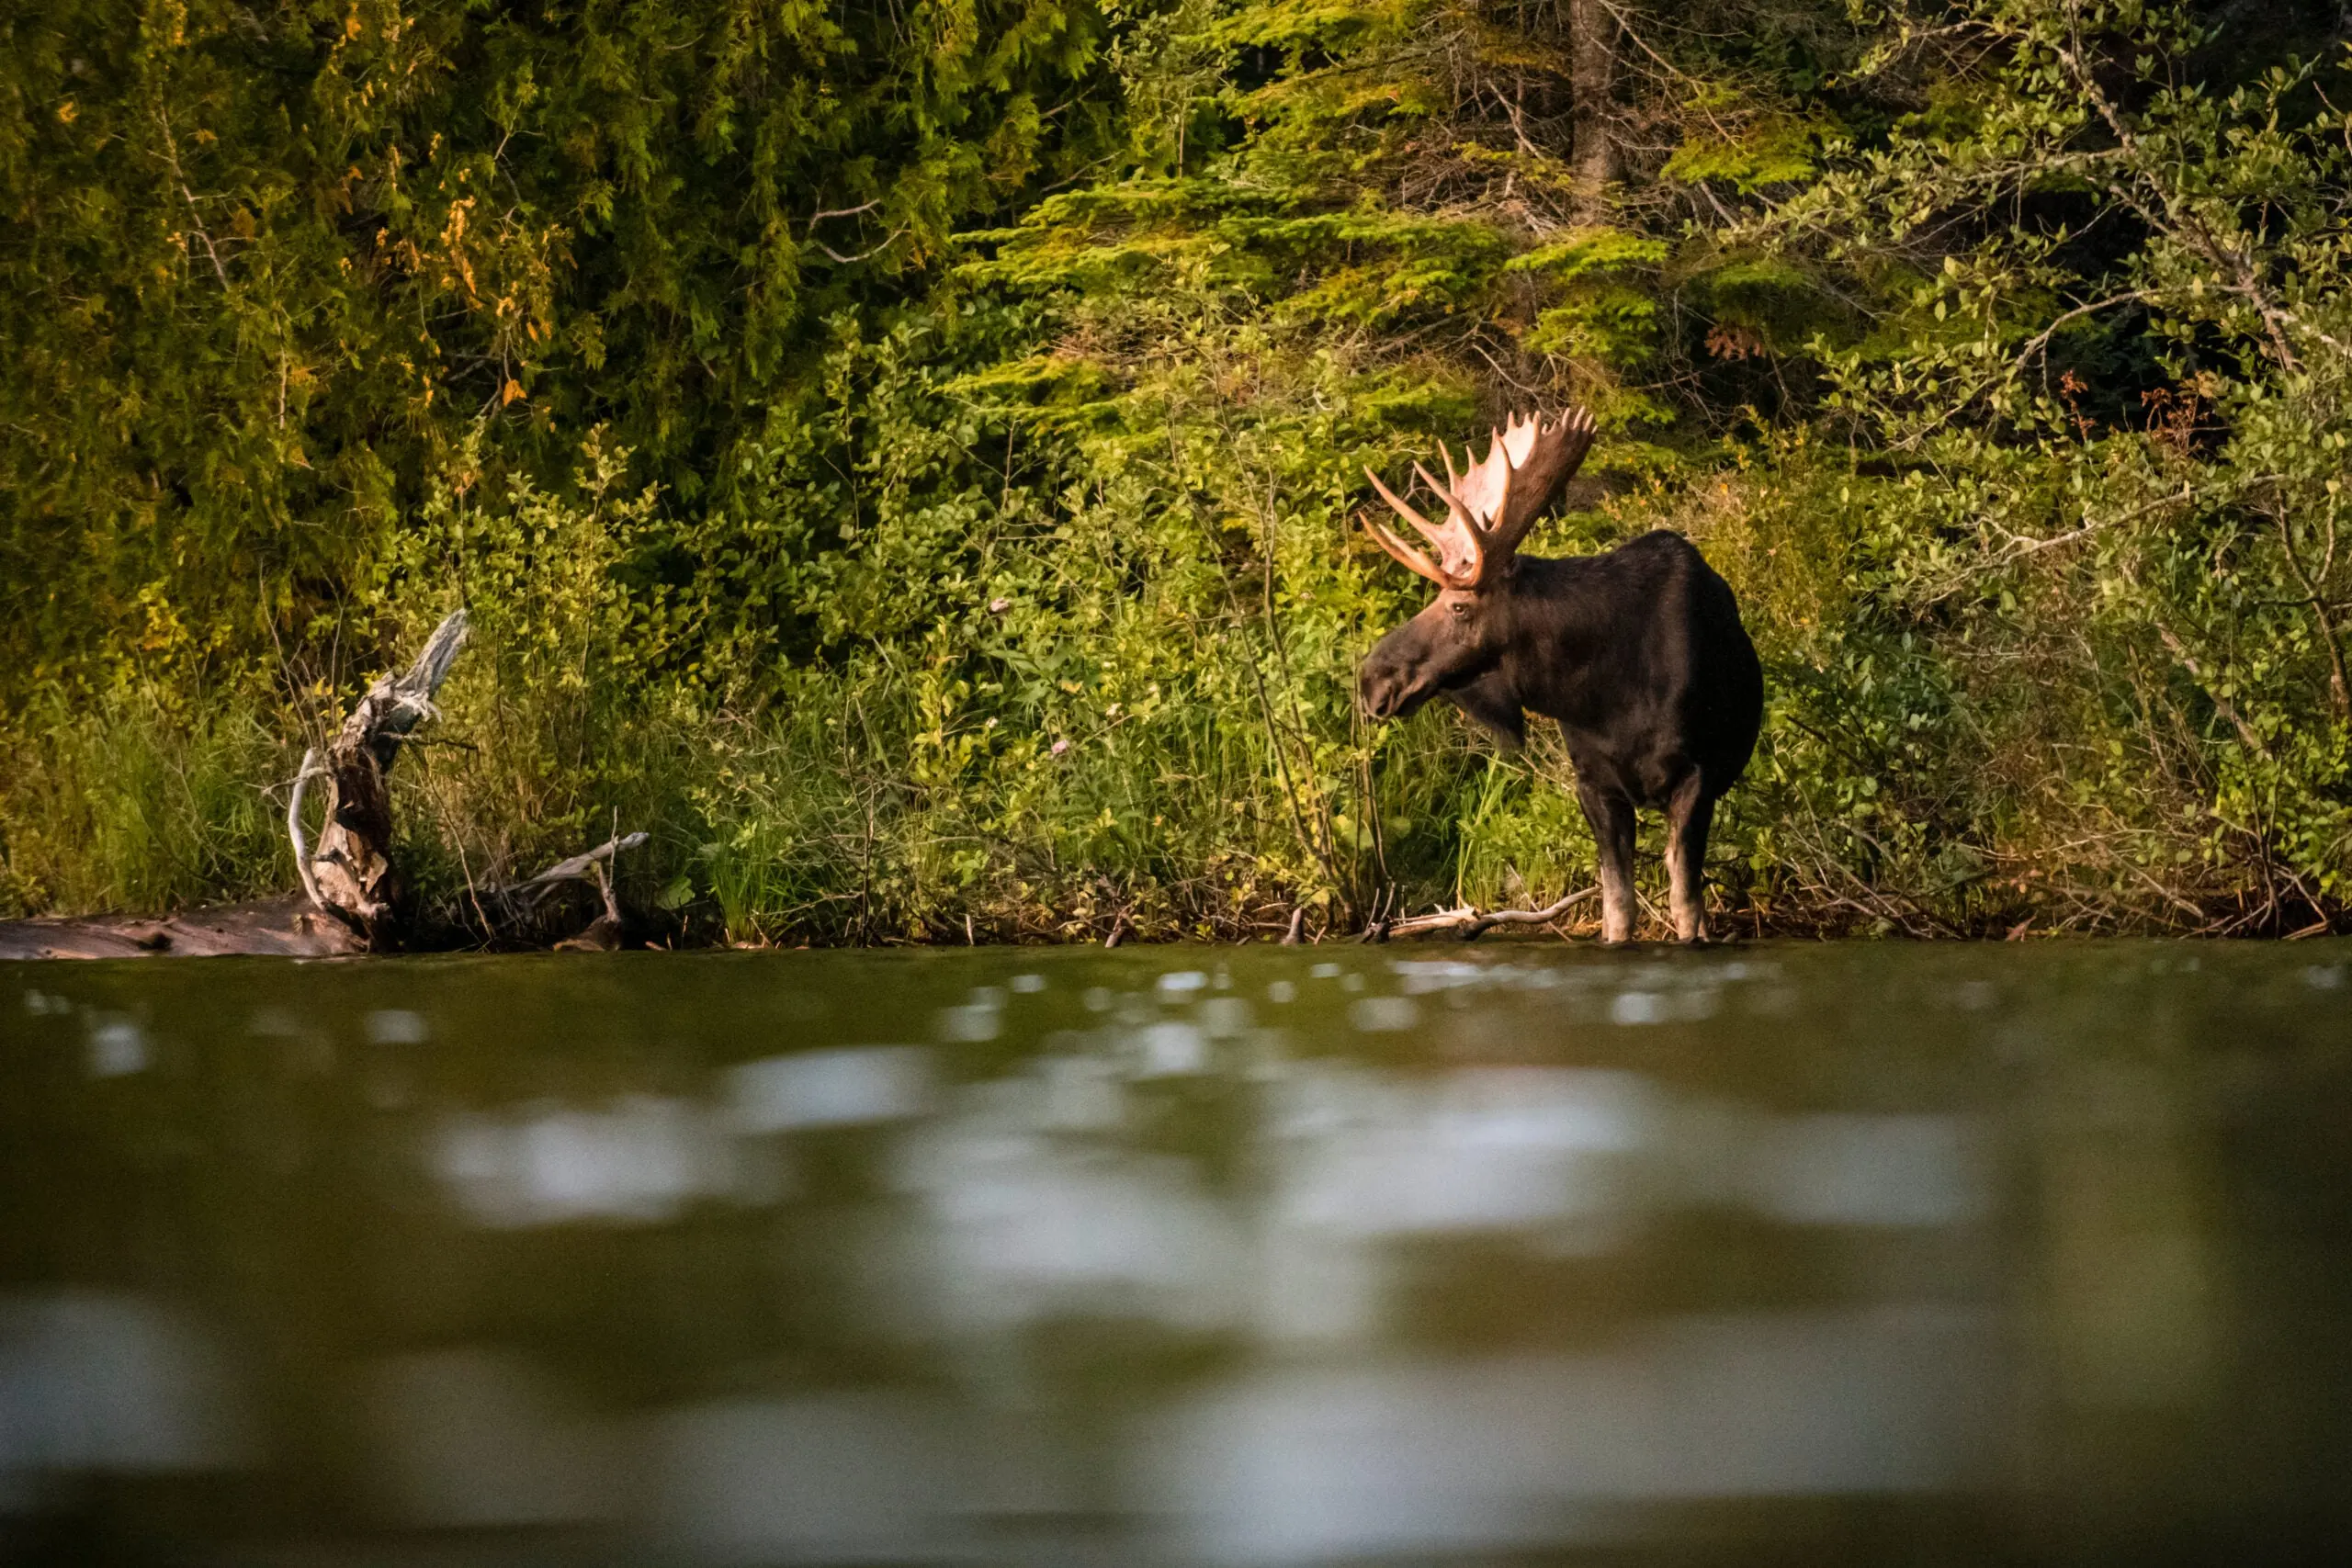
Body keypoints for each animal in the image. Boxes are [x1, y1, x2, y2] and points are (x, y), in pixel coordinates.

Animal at [1354, 404, 1758, 944]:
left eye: (1459, 606)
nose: (1372, 678)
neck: (1608, 697)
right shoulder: (1593, 783)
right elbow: (1617, 909)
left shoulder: (1697, 776)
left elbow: (1685, 907)